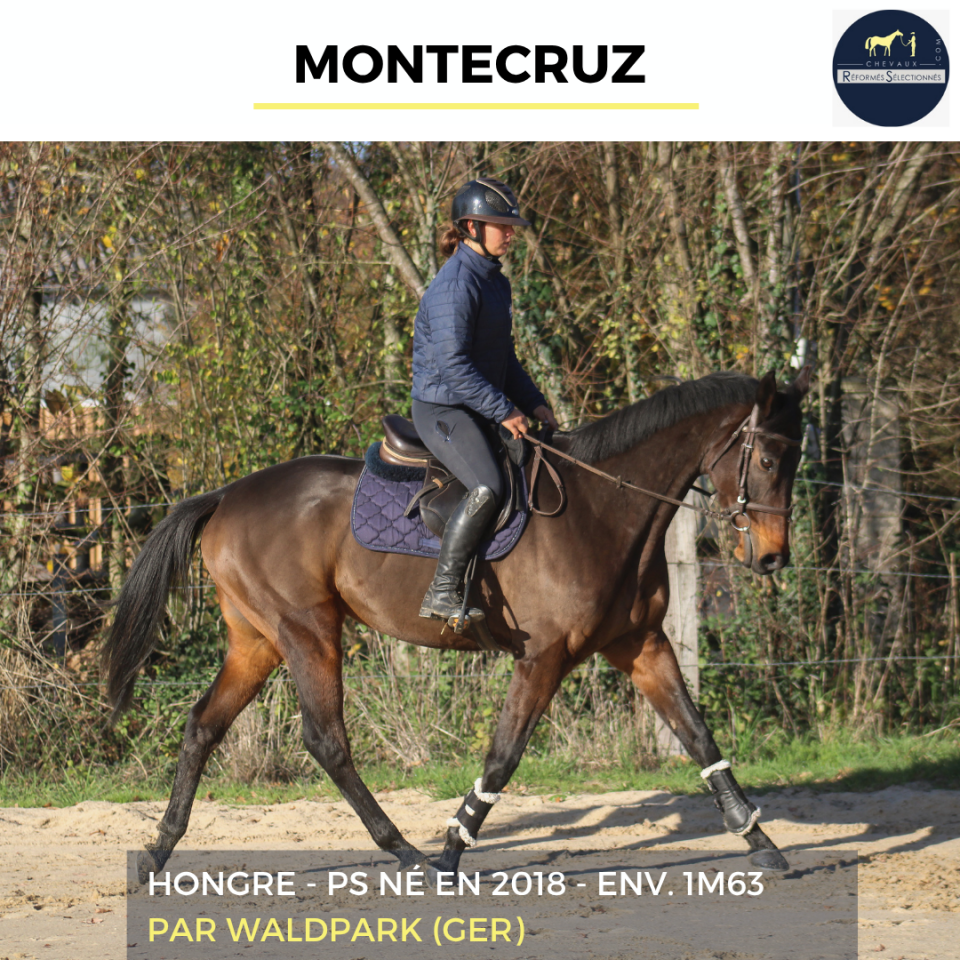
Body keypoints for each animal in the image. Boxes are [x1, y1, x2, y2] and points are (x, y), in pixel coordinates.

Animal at [102, 367, 811, 883]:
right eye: (769, 460)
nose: (772, 557)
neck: (604, 509)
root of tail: (226, 496)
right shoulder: (544, 657)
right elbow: (502, 756)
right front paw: (451, 849)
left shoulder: (639, 643)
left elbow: (699, 738)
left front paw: (760, 841)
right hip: (306, 630)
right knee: (326, 739)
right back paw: (406, 852)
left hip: (258, 641)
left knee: (203, 725)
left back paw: (159, 852)